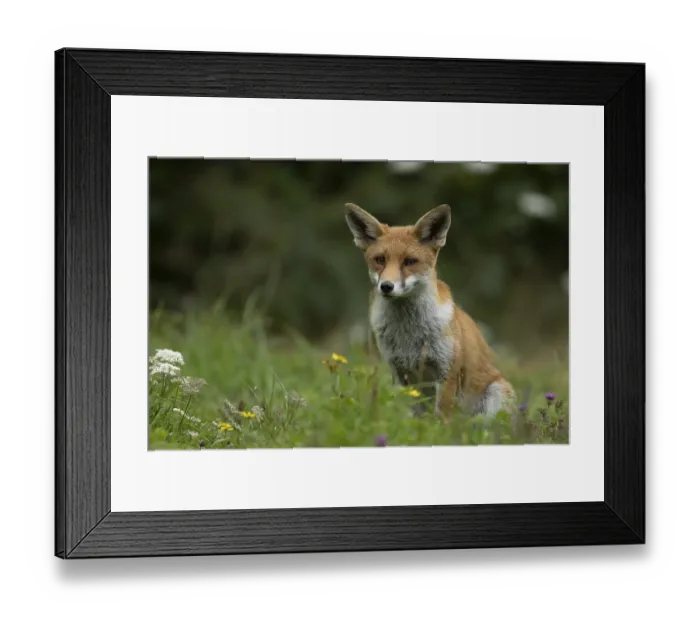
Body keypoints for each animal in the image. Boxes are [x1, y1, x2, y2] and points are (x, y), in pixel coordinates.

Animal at [344, 202, 516, 419]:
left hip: (496, 394)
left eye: (410, 261)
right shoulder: (401, 374)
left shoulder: (446, 371)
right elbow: (415, 417)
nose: (386, 286)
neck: (408, 334)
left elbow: (442, 418)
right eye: (380, 260)